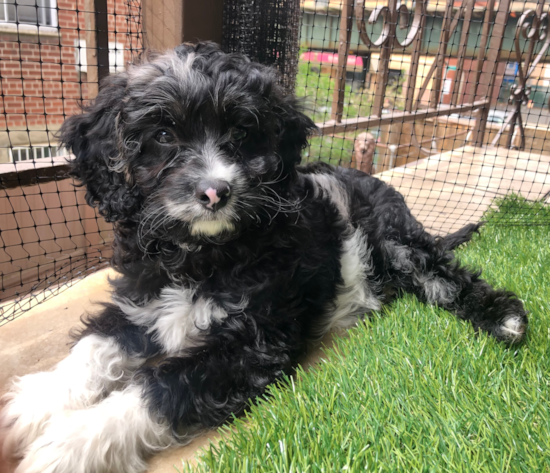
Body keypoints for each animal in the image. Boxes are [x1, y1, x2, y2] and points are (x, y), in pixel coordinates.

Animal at [0, 41, 532, 472]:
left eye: (240, 132)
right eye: (164, 137)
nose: (215, 191)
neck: (202, 255)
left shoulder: (250, 342)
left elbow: (161, 385)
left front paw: (71, 443)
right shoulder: (141, 298)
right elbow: (95, 346)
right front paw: (36, 404)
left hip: (397, 241)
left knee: (445, 276)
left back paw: (505, 319)